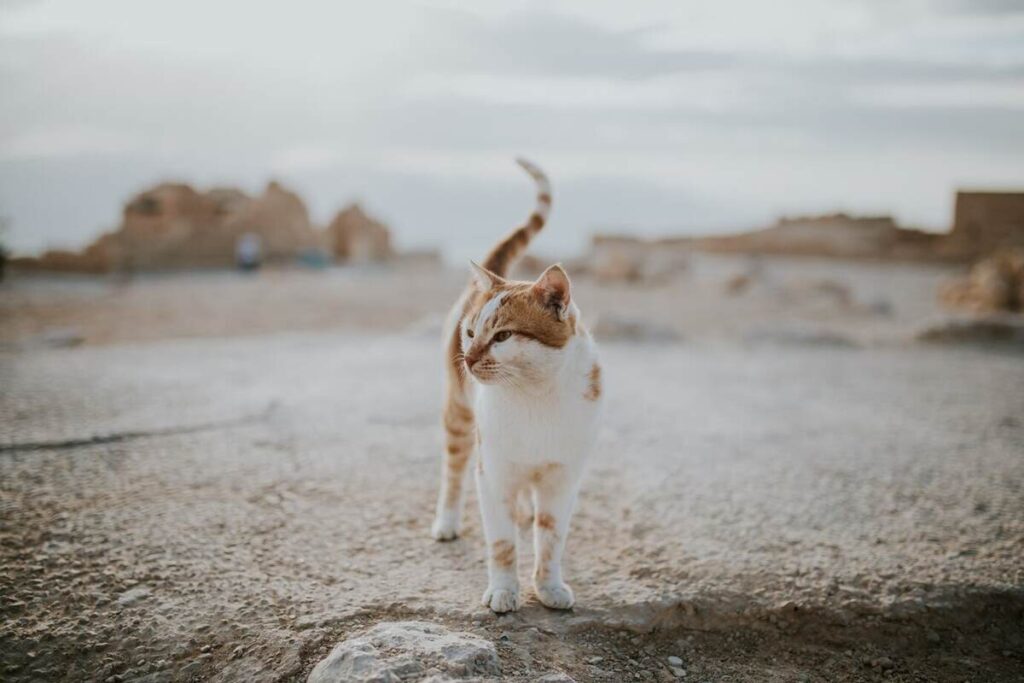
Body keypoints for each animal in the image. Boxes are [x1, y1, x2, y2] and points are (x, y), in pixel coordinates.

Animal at [430, 160, 602, 614]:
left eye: (503, 336)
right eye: (471, 333)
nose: (469, 358)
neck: (535, 397)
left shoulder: (563, 479)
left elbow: (551, 538)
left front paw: (549, 587)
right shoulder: (492, 474)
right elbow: (502, 543)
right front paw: (504, 591)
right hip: (459, 418)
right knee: (452, 472)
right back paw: (446, 522)